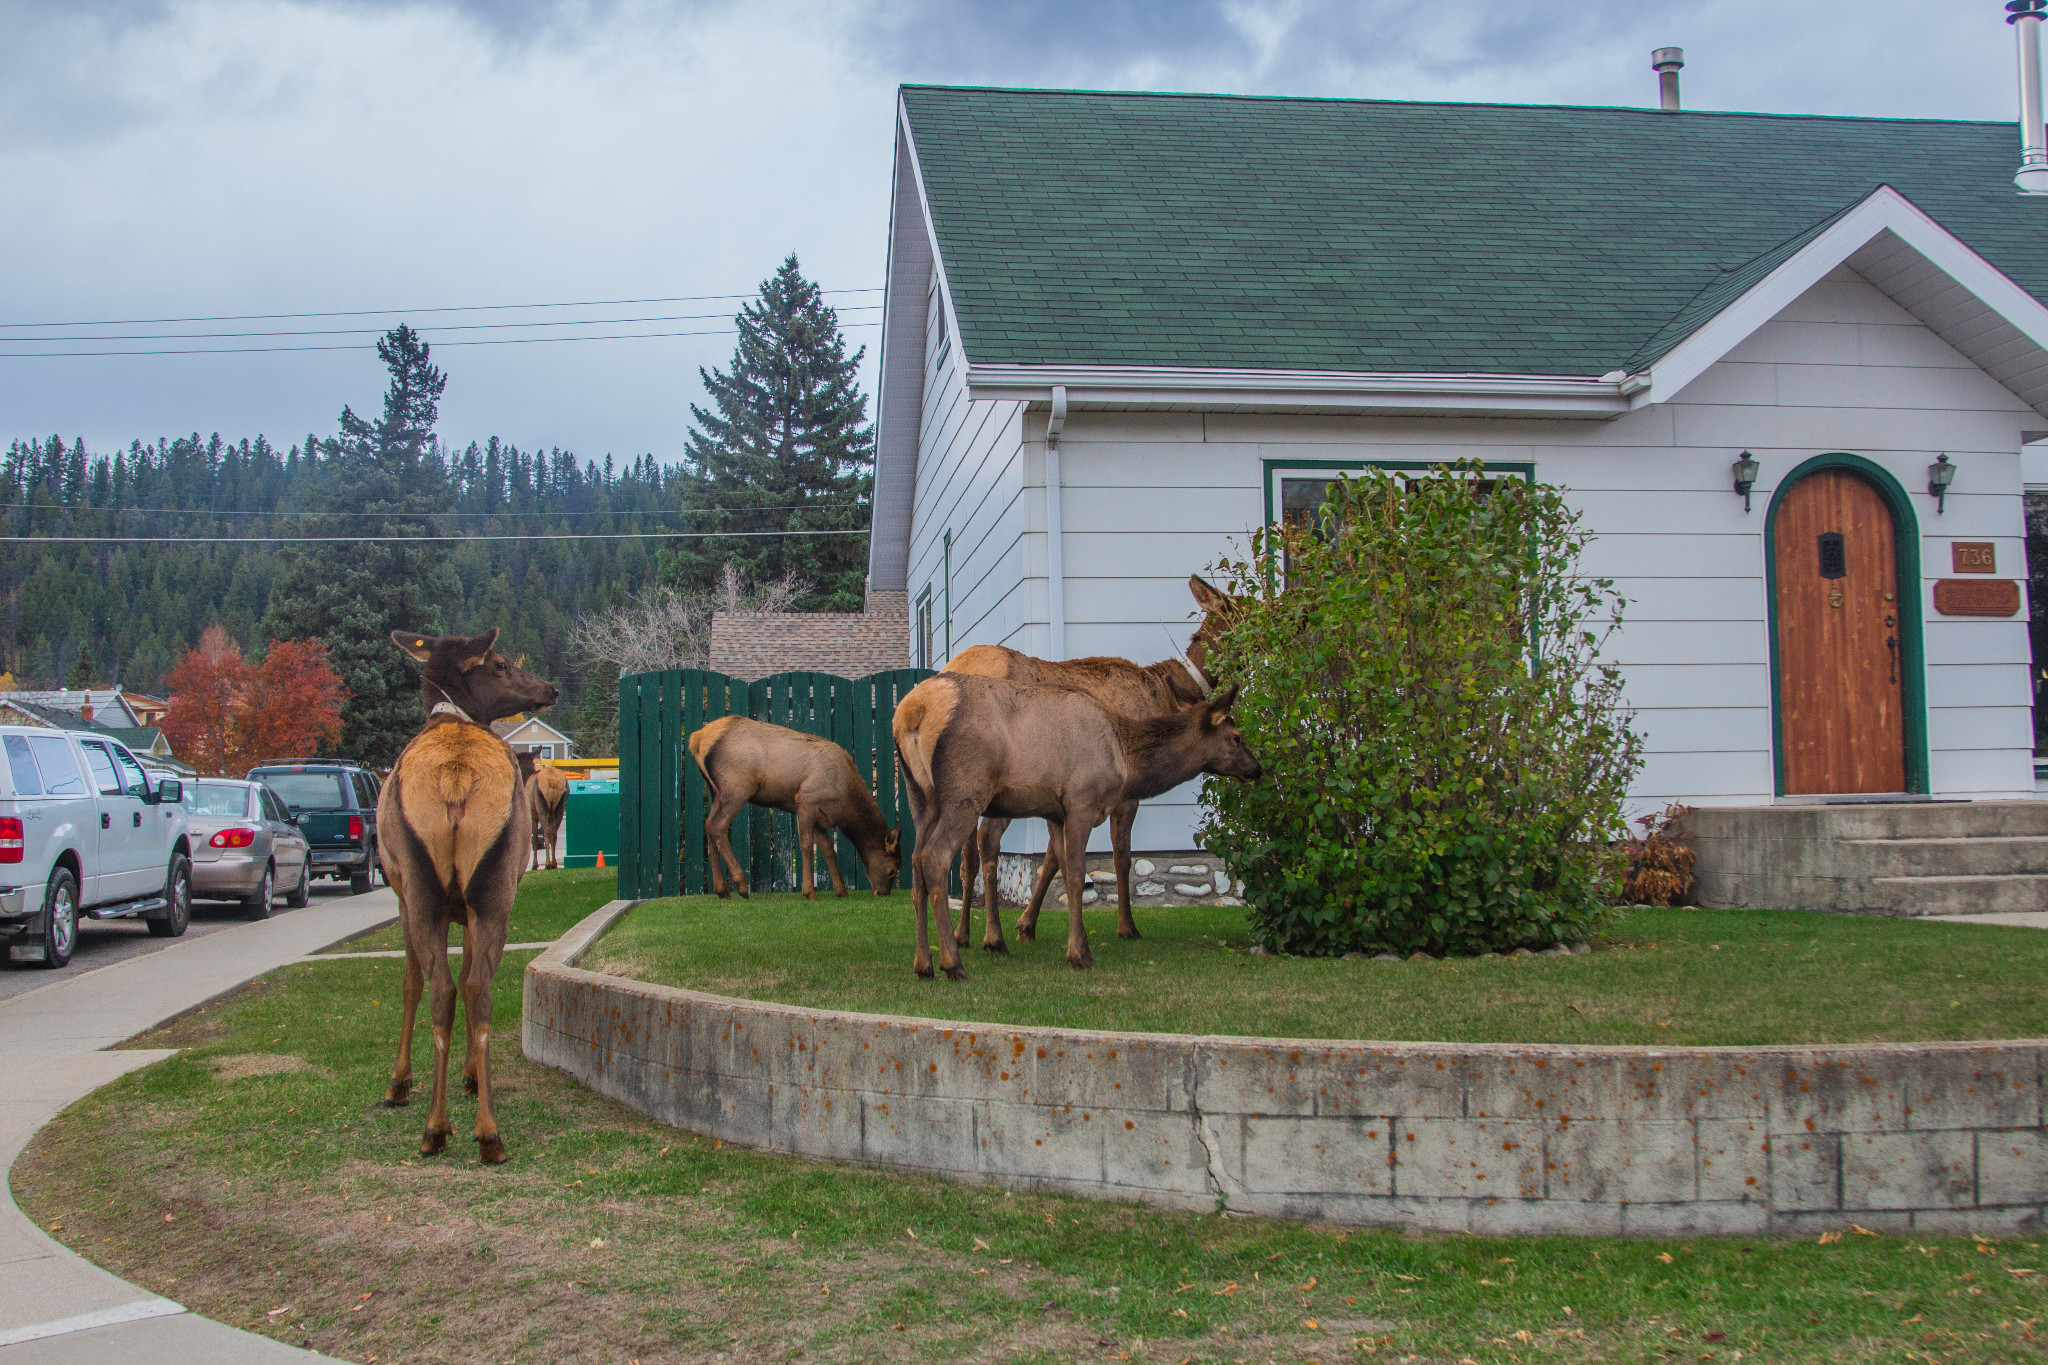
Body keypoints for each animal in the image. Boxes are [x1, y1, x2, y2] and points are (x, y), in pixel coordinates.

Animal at [378, 630, 557, 1162]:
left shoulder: (401, 894)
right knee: (470, 987)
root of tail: (455, 775)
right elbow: (454, 976)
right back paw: (470, 1127)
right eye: (500, 664)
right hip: (488, 896)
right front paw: (468, 1075)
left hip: (436, 894)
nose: (549, 687)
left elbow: (410, 983)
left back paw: (455, 1128)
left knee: (451, 988)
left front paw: (399, 1080)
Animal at [688, 720, 905, 900]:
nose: (882, 893)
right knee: (718, 826)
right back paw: (741, 885)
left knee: (708, 824)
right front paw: (809, 892)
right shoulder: (806, 801)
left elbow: (828, 849)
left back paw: (721, 890)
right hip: (737, 787)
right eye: (892, 870)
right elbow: (807, 844)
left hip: (716, 792)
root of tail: (697, 739)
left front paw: (841, 891)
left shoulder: (820, 817)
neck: (844, 800)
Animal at [901, 675, 1261, 978]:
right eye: (1236, 737)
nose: (1258, 769)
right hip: (965, 791)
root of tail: (909, 713)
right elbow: (1076, 875)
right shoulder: (1081, 802)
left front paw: (1043, 934)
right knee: (935, 857)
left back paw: (925, 963)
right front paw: (1080, 953)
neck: (1125, 759)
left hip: (920, 798)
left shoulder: (1058, 814)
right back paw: (952, 962)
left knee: (917, 861)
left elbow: (1059, 867)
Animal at [942, 573, 1245, 949]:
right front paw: (1127, 926)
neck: (1168, 697)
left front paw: (1027, 923)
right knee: (987, 841)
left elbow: (1054, 858)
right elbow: (1121, 857)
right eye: (1252, 608)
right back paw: (991, 936)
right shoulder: (1126, 789)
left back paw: (962, 934)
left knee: (966, 854)